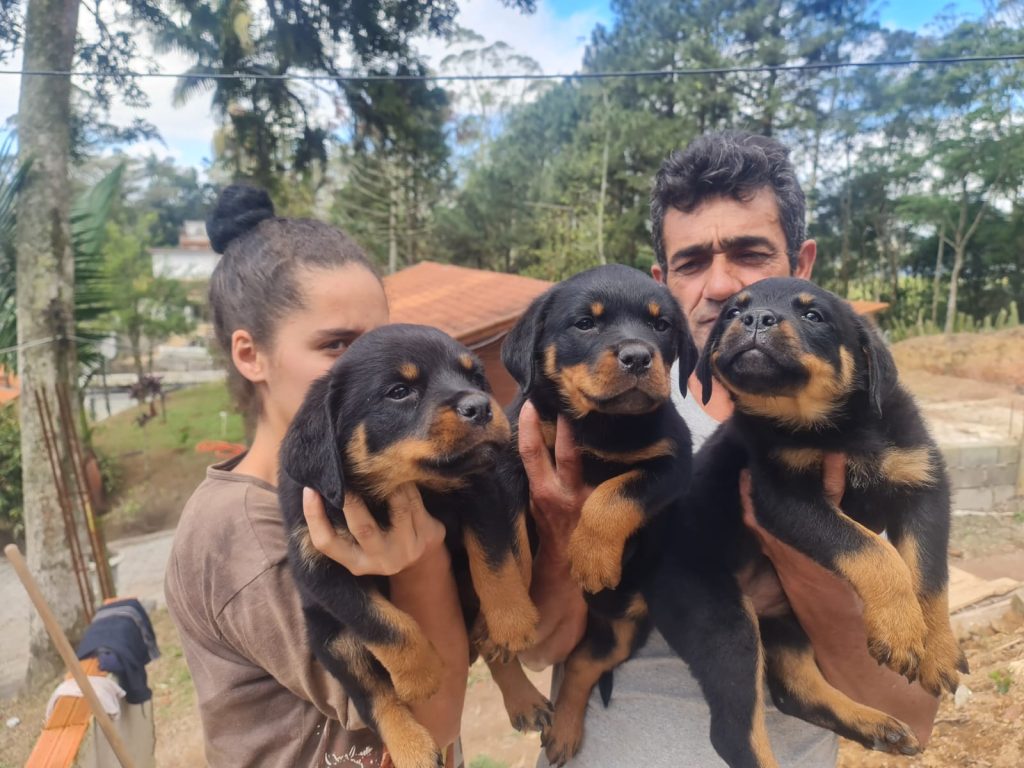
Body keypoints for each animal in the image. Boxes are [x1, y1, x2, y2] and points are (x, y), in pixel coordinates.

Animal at [278, 324, 549, 768]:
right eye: (400, 392)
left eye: (476, 378)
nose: (481, 407)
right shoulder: (318, 566)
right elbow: (384, 623)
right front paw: (421, 676)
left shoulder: (482, 493)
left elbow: (494, 563)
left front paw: (512, 622)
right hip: (331, 639)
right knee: (375, 698)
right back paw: (412, 747)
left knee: (486, 645)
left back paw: (521, 695)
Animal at [499, 264, 698, 766]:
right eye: (585, 324)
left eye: (661, 325)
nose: (638, 356)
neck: (602, 424)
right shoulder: (510, 457)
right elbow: (507, 540)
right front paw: (510, 598)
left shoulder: (672, 461)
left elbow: (613, 495)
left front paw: (590, 557)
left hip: (624, 626)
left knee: (583, 666)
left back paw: (565, 730)